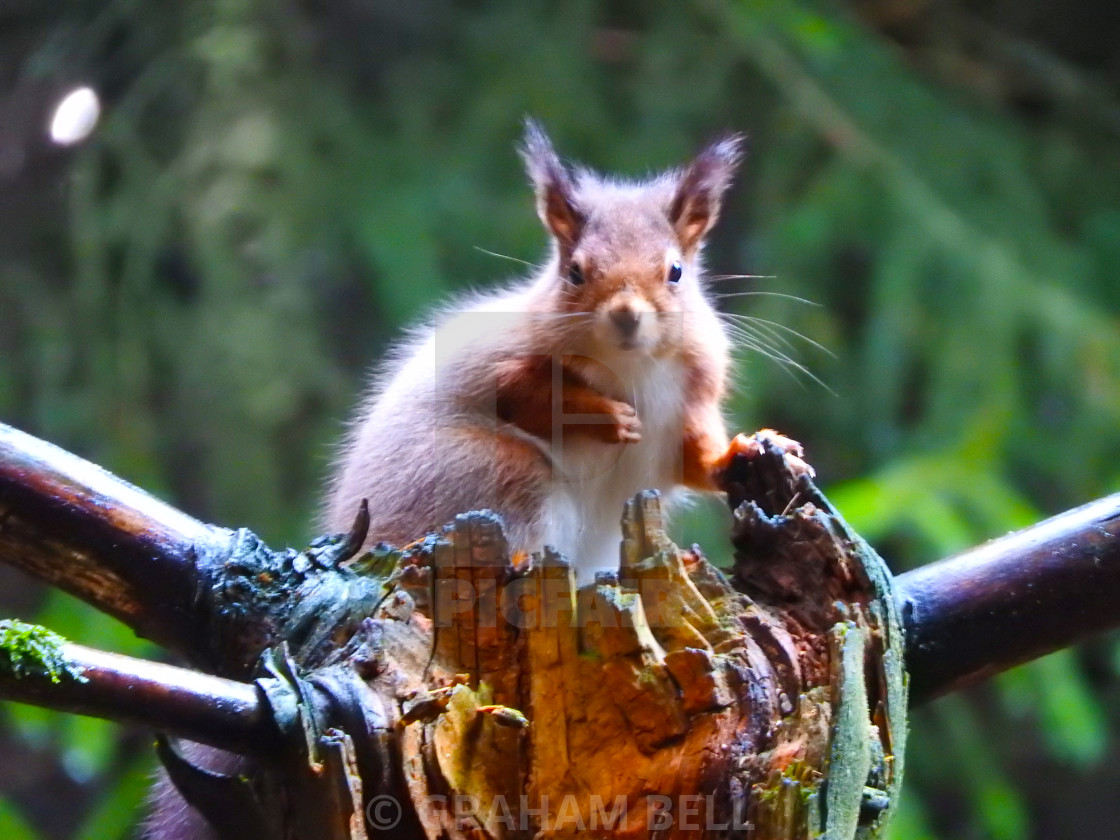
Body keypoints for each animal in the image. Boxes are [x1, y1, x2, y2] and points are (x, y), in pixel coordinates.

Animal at [324, 121, 784, 582]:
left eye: (676, 272)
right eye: (575, 272)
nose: (626, 314)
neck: (631, 365)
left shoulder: (690, 402)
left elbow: (697, 458)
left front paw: (748, 448)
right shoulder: (505, 364)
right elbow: (526, 397)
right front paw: (610, 418)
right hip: (492, 472)